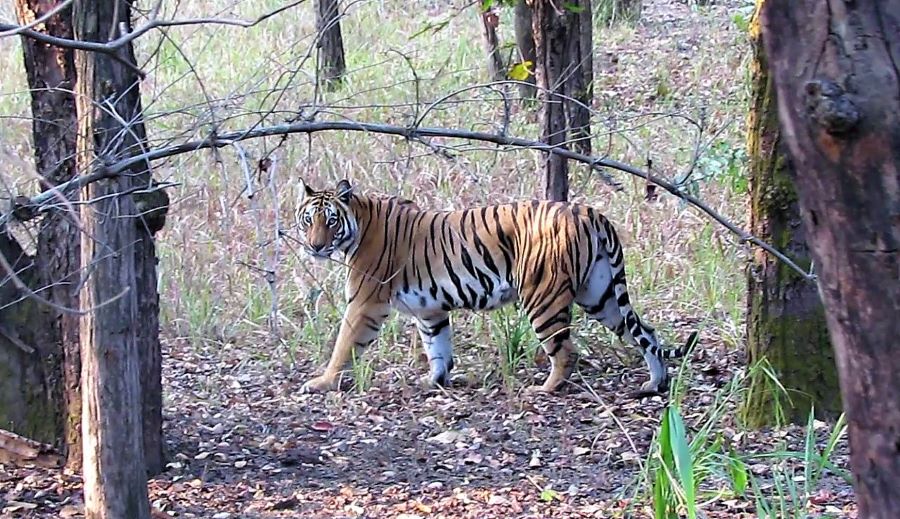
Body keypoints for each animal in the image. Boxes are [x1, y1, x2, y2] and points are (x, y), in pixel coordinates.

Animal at [296, 181, 696, 396]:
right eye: (307, 220)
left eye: (330, 221)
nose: (315, 246)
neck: (359, 222)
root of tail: (587, 212)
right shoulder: (430, 310)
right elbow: (437, 346)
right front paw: (434, 381)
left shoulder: (364, 301)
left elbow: (344, 344)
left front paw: (322, 382)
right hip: (600, 294)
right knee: (646, 332)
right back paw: (655, 383)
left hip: (543, 296)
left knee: (566, 351)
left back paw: (545, 389)